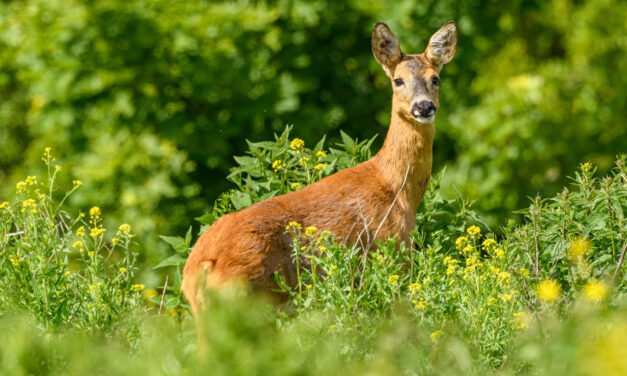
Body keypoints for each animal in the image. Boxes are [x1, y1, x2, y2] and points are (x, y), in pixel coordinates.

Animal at [184, 20, 458, 314]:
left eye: (435, 78)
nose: (424, 106)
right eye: (398, 80)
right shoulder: (393, 248)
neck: (398, 189)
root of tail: (198, 269)